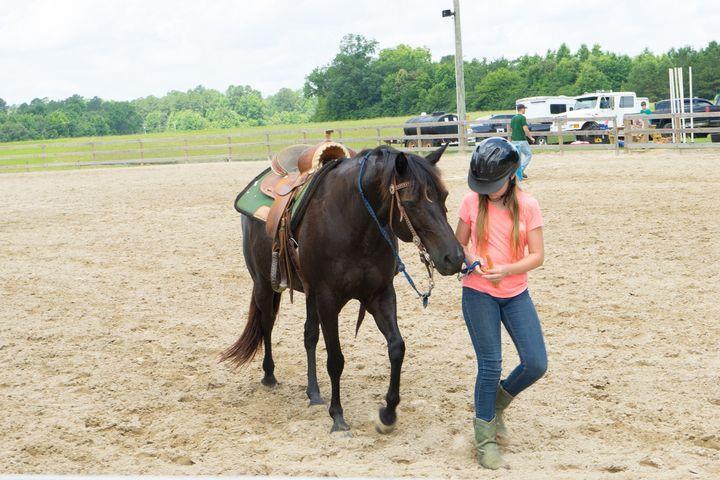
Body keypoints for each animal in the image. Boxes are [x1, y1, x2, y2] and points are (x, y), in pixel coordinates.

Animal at [221, 144, 464, 433]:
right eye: (411, 202)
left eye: (444, 196)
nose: (454, 257)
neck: (353, 223)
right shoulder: (328, 300)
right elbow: (336, 359)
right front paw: (337, 416)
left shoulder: (380, 294)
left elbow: (397, 348)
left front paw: (388, 413)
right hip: (264, 284)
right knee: (267, 324)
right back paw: (269, 375)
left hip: (309, 294)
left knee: (309, 335)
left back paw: (314, 393)